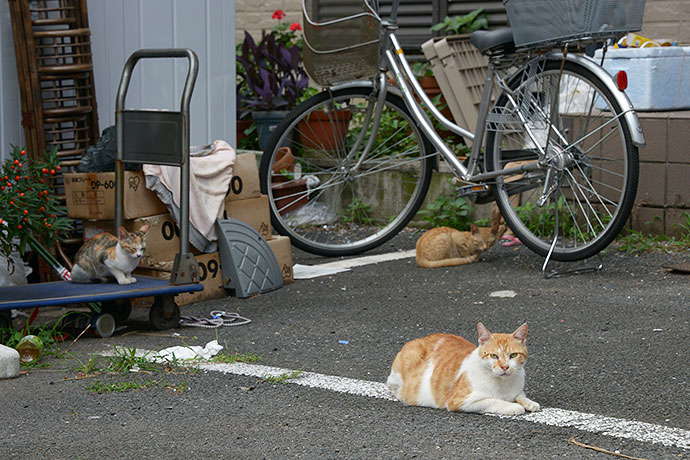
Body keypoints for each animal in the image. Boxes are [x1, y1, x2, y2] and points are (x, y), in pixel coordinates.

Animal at [388, 324, 536, 416]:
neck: (503, 383)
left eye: (513, 355)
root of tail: (419, 339)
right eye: (494, 356)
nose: (505, 366)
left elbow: (520, 395)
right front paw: (513, 406)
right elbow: (493, 401)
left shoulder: (517, 390)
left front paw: (529, 403)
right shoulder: (461, 401)